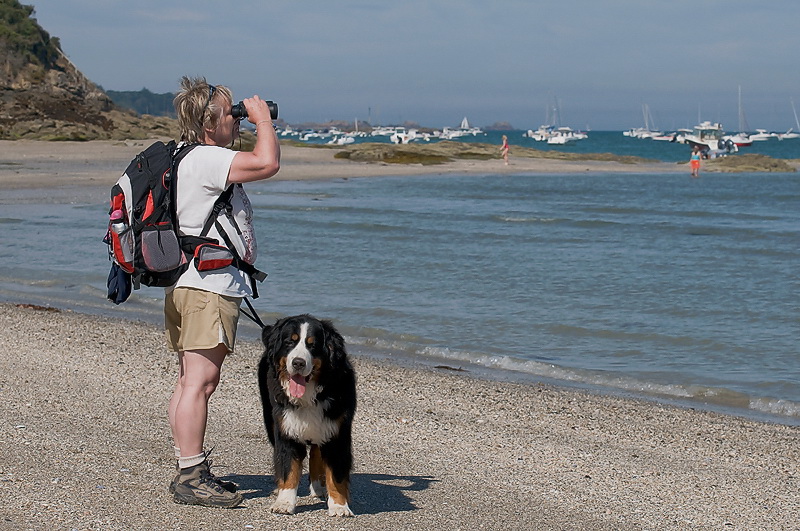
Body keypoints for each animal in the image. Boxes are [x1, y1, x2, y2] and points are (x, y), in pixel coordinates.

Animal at [260, 314, 356, 516]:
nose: (298, 362)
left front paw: (339, 506)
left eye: (313, 345)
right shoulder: (286, 430)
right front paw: (285, 502)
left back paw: (318, 487)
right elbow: (288, 467)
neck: (310, 395)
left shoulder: (336, 433)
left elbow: (336, 474)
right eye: (290, 342)